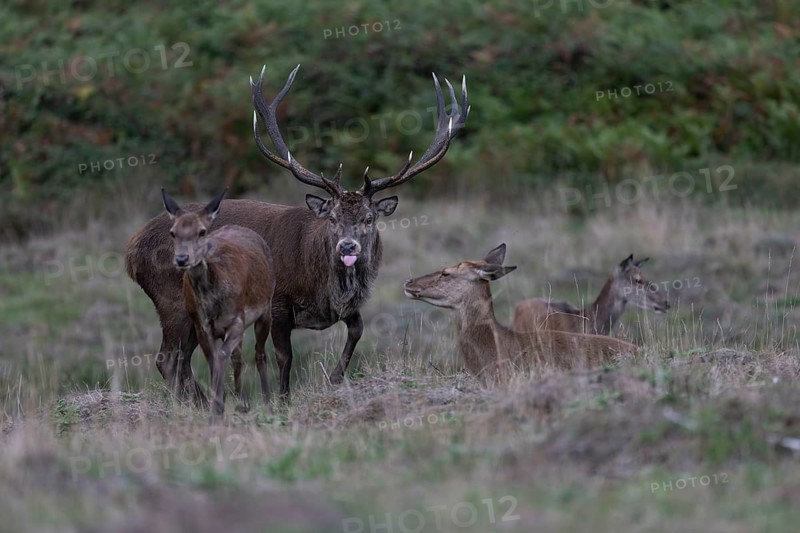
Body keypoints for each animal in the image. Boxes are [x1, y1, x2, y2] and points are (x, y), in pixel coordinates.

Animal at [162, 188, 275, 422]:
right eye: (172, 232)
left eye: (202, 231)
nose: (182, 259)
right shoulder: (201, 325)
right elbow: (213, 359)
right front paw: (218, 407)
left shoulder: (238, 319)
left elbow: (222, 356)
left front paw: (217, 409)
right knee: (238, 356)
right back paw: (242, 402)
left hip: (266, 308)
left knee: (259, 354)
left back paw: (268, 404)